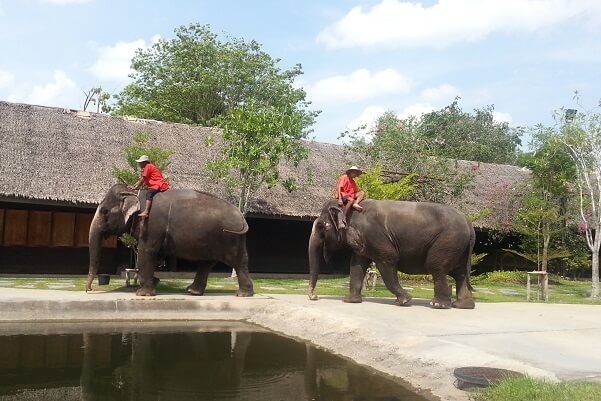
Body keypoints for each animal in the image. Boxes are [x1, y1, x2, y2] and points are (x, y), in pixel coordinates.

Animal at [85, 183, 252, 296]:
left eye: (104, 211)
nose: (89, 290)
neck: (134, 194)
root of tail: (241, 216)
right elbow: (156, 256)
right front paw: (155, 282)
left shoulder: (151, 225)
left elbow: (146, 251)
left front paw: (143, 293)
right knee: (207, 263)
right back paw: (192, 291)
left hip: (230, 238)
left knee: (238, 261)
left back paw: (243, 294)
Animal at [310, 198, 474, 308]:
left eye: (320, 226)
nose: (314, 296)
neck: (348, 208)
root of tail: (468, 222)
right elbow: (356, 265)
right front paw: (350, 301)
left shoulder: (375, 235)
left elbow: (388, 260)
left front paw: (404, 301)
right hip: (458, 246)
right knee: (459, 273)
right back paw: (462, 305)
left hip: (448, 240)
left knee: (436, 267)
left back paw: (438, 305)